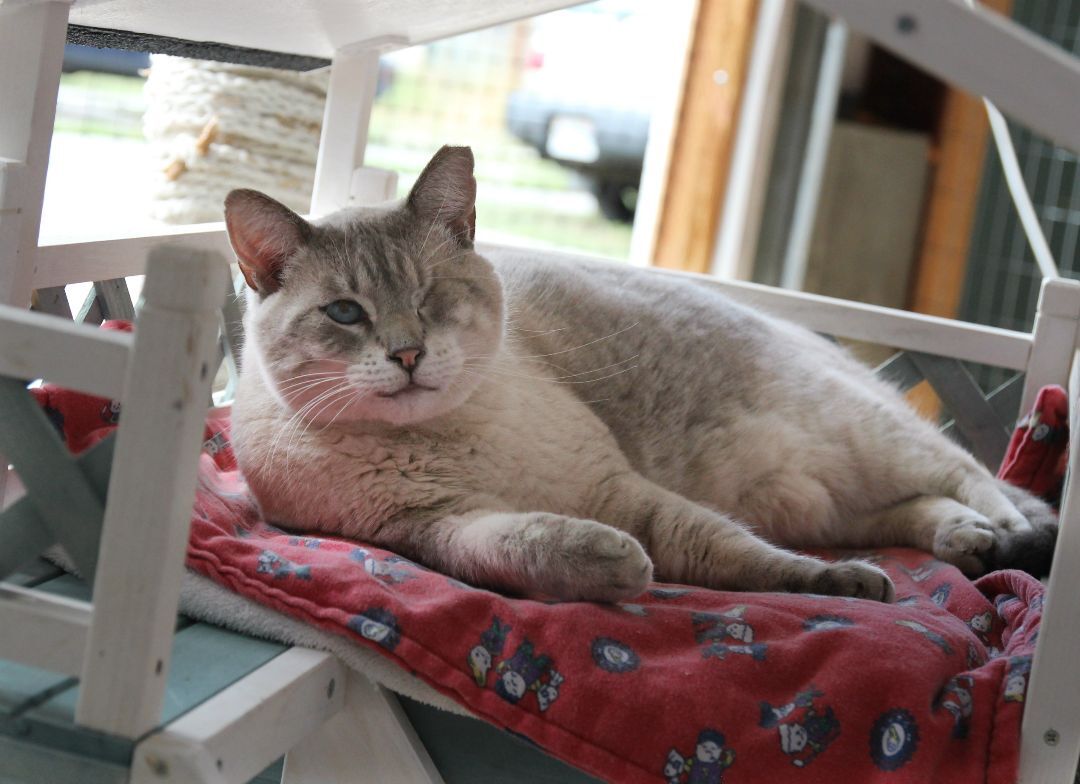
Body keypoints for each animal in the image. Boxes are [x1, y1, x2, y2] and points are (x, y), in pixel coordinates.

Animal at [225, 144, 1054, 604]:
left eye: (430, 298)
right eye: (344, 314)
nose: (407, 355)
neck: (446, 438)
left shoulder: (617, 489)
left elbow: (738, 555)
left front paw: (844, 585)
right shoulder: (431, 528)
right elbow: (526, 544)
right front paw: (610, 563)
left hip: (863, 439)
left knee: (984, 482)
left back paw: (1005, 534)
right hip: (822, 501)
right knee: (917, 510)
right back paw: (969, 542)